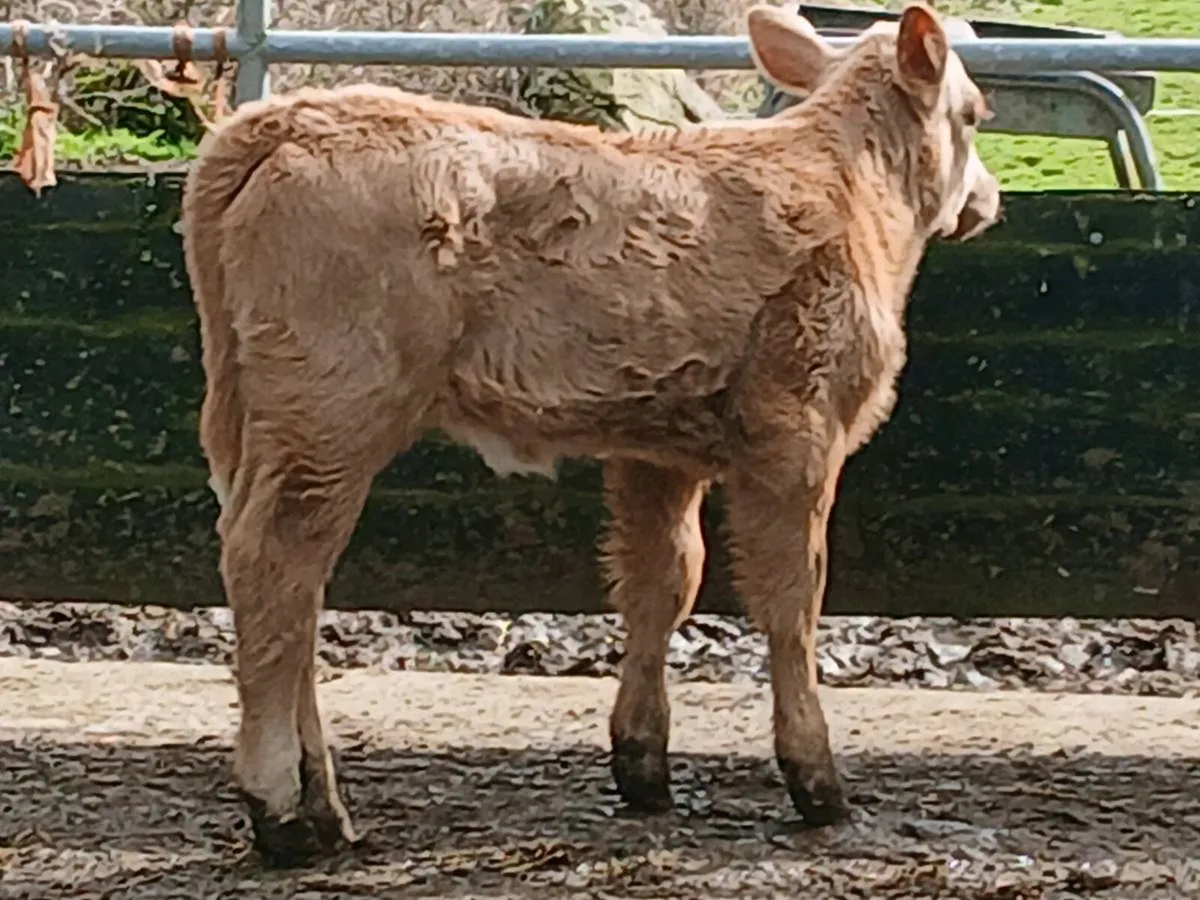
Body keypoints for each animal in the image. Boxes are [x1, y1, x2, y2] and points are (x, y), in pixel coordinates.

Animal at [180, 1, 1002, 866]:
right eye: (975, 114)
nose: (987, 197)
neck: (847, 190)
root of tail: (290, 116)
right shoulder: (797, 433)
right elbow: (791, 601)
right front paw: (817, 782)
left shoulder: (655, 448)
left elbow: (661, 582)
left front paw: (643, 765)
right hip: (331, 413)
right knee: (275, 566)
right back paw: (281, 814)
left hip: (264, 421)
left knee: (294, 586)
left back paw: (326, 811)